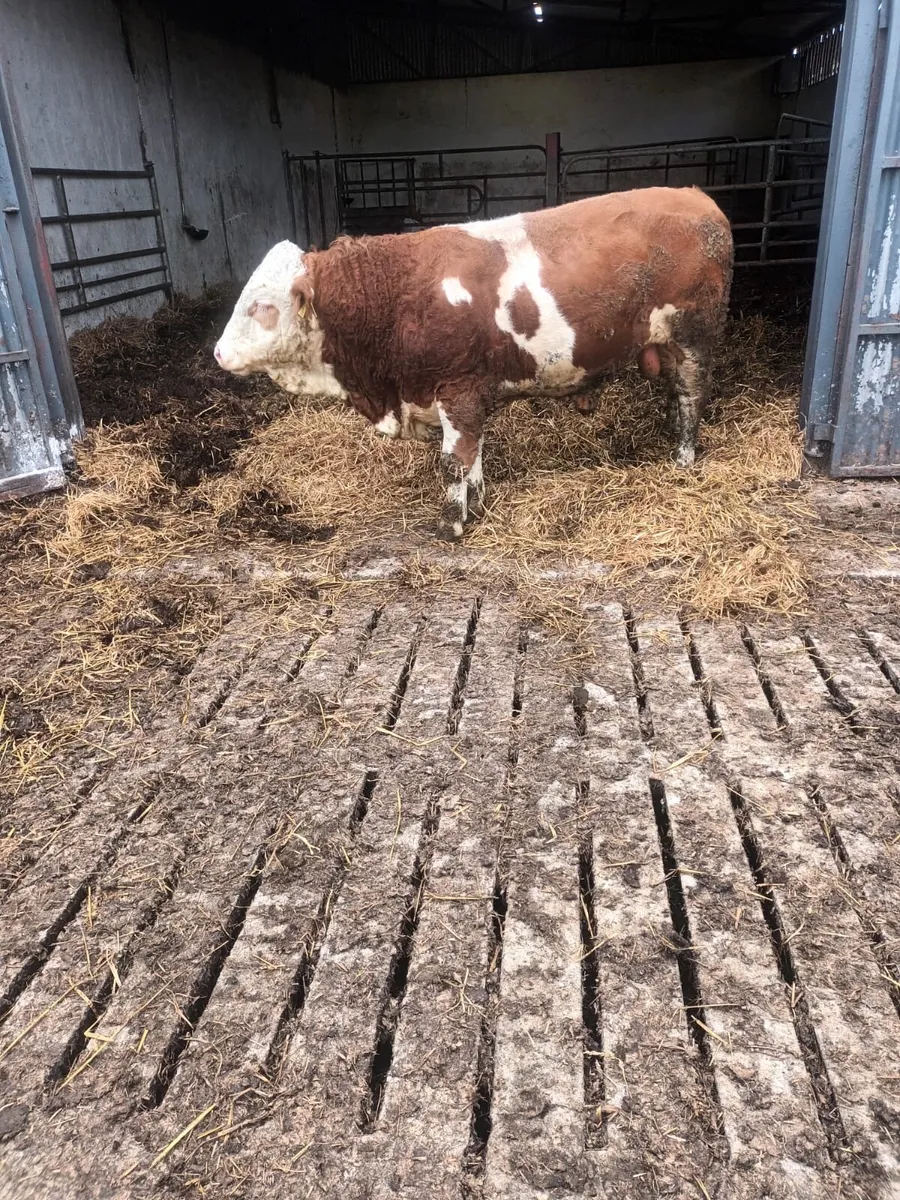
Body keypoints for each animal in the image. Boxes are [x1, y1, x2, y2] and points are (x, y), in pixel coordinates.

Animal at [214, 187, 733, 541]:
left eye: (261, 305)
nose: (217, 353)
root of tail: (696, 196)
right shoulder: (462, 396)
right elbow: (474, 457)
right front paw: (477, 505)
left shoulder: (457, 389)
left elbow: (454, 461)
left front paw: (452, 525)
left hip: (695, 336)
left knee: (691, 396)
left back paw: (683, 458)